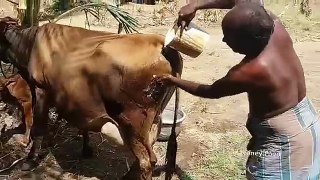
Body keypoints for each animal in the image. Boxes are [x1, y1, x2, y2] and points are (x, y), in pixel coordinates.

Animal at [0, 17, 182, 180]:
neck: (29, 45)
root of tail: (160, 43)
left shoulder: (41, 89)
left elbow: (38, 126)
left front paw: (30, 159)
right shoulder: (74, 98)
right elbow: (79, 122)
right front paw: (84, 148)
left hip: (133, 122)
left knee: (146, 160)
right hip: (154, 118)